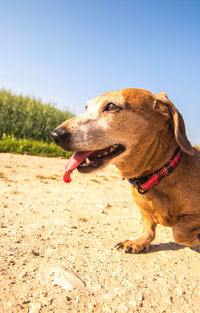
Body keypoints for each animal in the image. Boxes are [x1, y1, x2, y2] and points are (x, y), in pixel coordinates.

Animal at [50, 87, 200, 251]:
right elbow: (149, 228)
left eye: (111, 106)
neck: (158, 175)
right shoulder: (144, 210)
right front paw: (139, 241)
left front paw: (195, 238)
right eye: (86, 107)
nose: (55, 135)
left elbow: (179, 231)